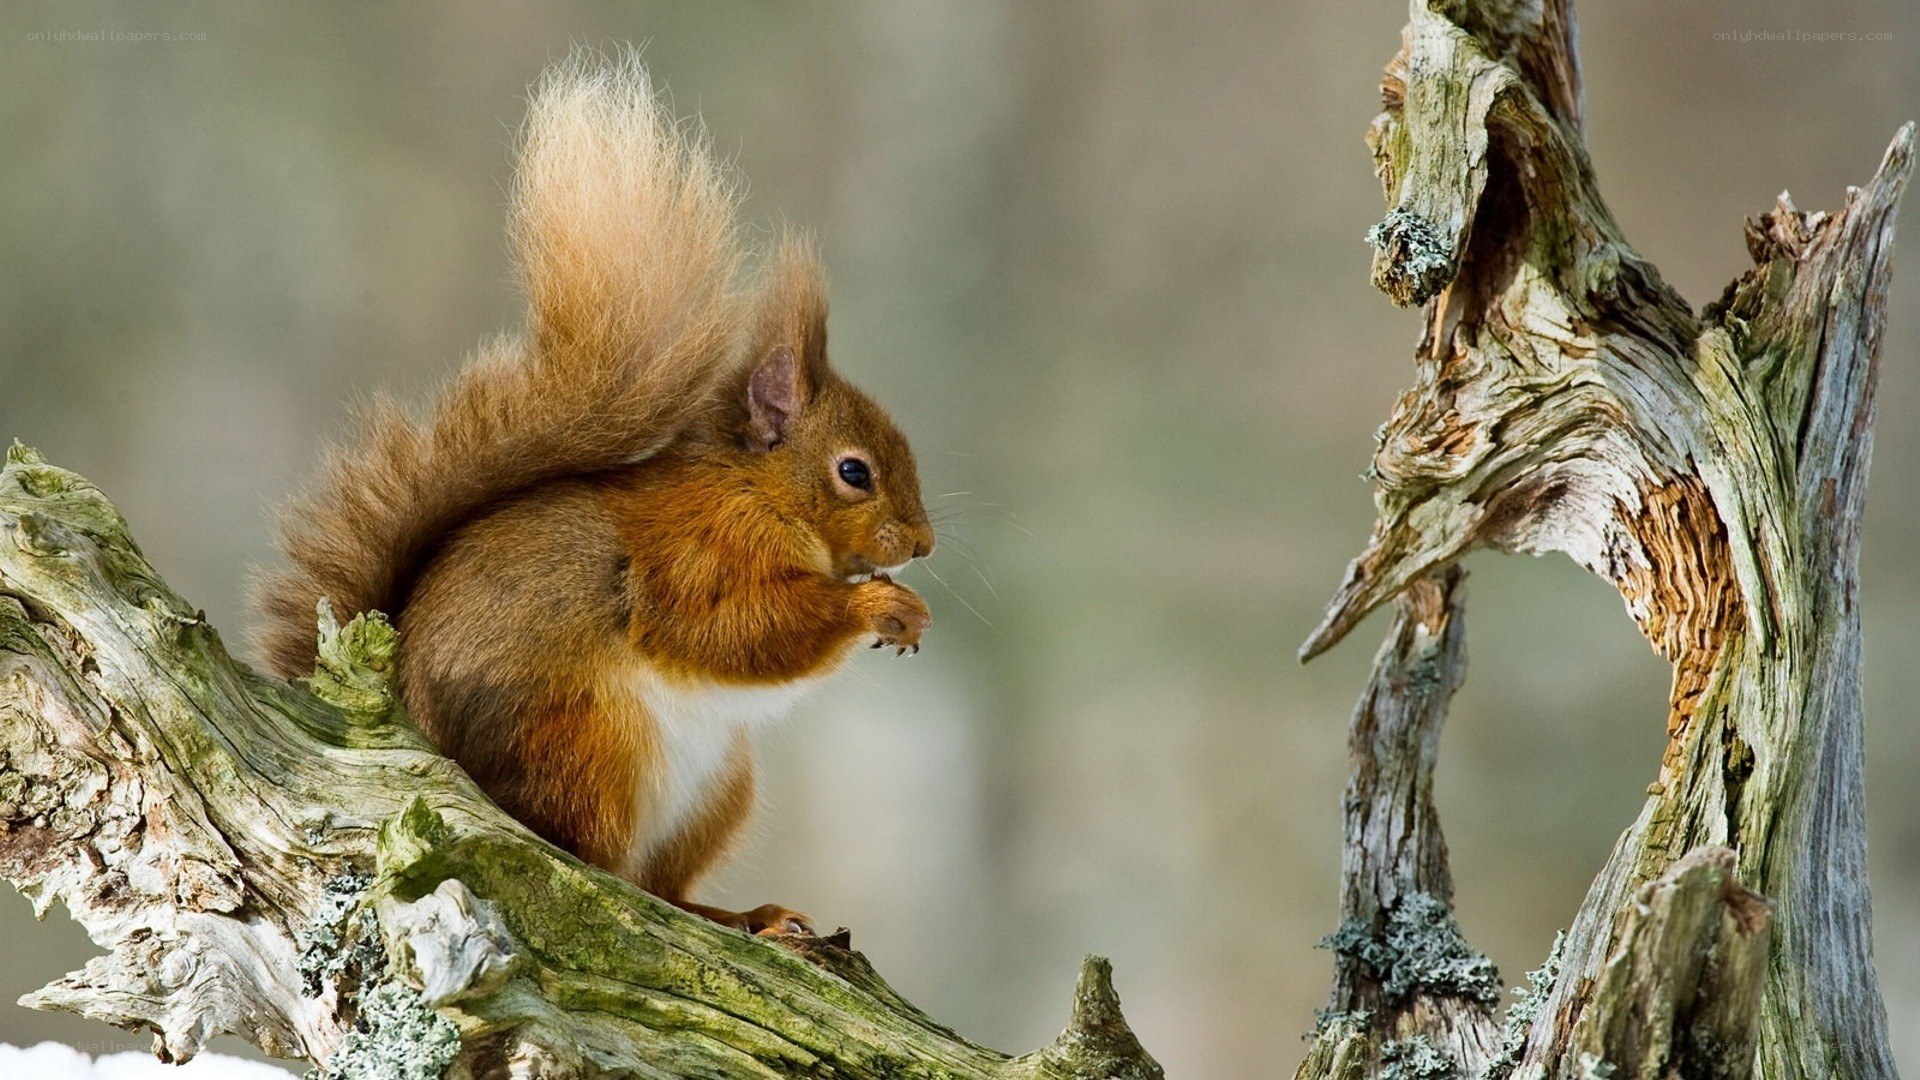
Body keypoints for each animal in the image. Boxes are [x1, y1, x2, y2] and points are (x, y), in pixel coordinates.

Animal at [251, 53, 934, 936]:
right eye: (855, 472)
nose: (921, 545)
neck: (755, 490)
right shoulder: (693, 553)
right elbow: (736, 630)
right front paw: (879, 606)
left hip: (717, 788)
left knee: (659, 885)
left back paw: (744, 917)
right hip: (589, 745)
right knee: (596, 863)